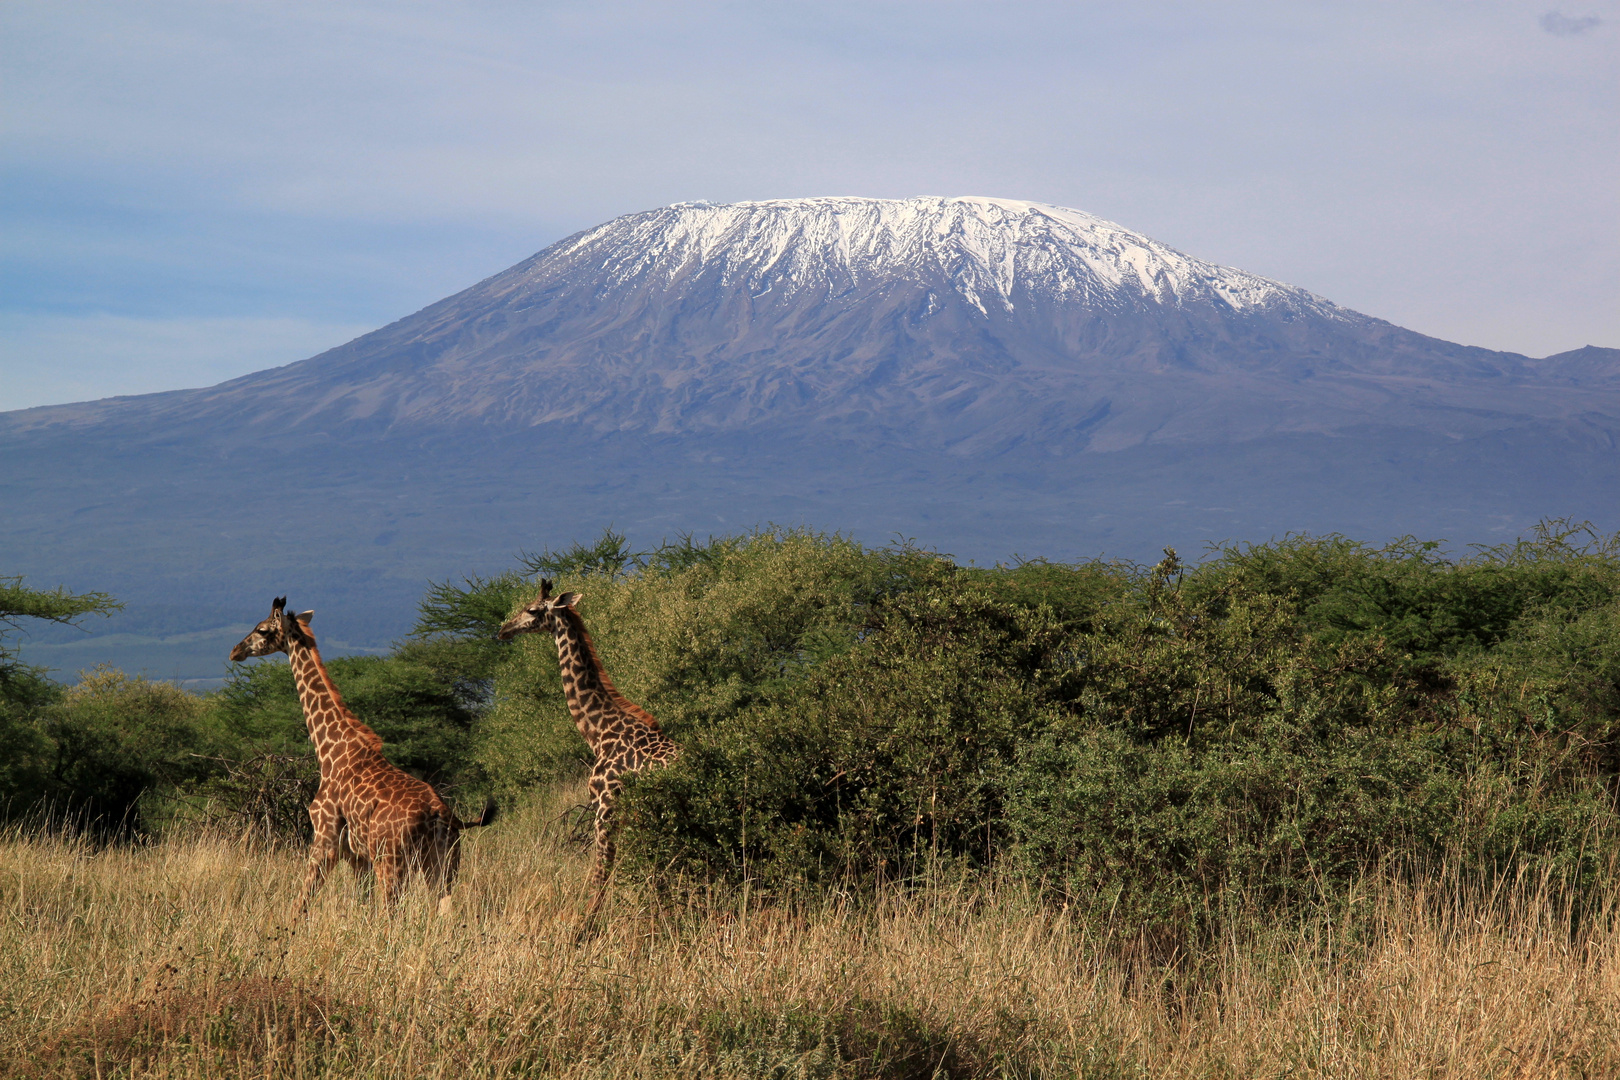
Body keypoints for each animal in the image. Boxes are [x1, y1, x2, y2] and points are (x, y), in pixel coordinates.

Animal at [230, 595, 492, 919]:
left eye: (262, 629)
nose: (235, 651)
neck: (330, 751)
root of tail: (442, 814)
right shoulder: (358, 856)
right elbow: (360, 903)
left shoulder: (326, 839)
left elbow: (302, 900)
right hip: (443, 863)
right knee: (443, 910)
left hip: (393, 862)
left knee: (392, 912)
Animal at [492, 579, 670, 932]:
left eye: (532, 609)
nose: (504, 630)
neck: (599, 733)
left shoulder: (606, 808)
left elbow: (602, 872)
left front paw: (585, 926)